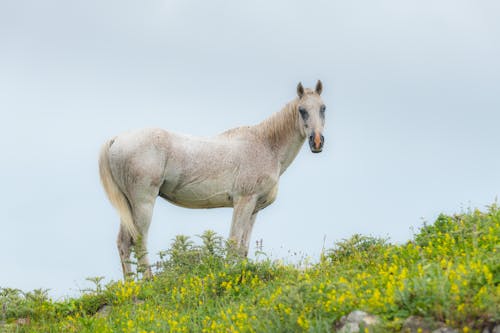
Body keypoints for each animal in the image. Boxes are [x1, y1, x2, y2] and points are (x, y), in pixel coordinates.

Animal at [99, 81, 326, 278]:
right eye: (302, 110)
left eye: (323, 108)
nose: (317, 142)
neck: (266, 145)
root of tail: (117, 139)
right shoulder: (243, 201)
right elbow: (233, 243)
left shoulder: (254, 208)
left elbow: (243, 247)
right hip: (143, 202)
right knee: (139, 240)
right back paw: (148, 282)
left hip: (129, 205)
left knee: (124, 242)